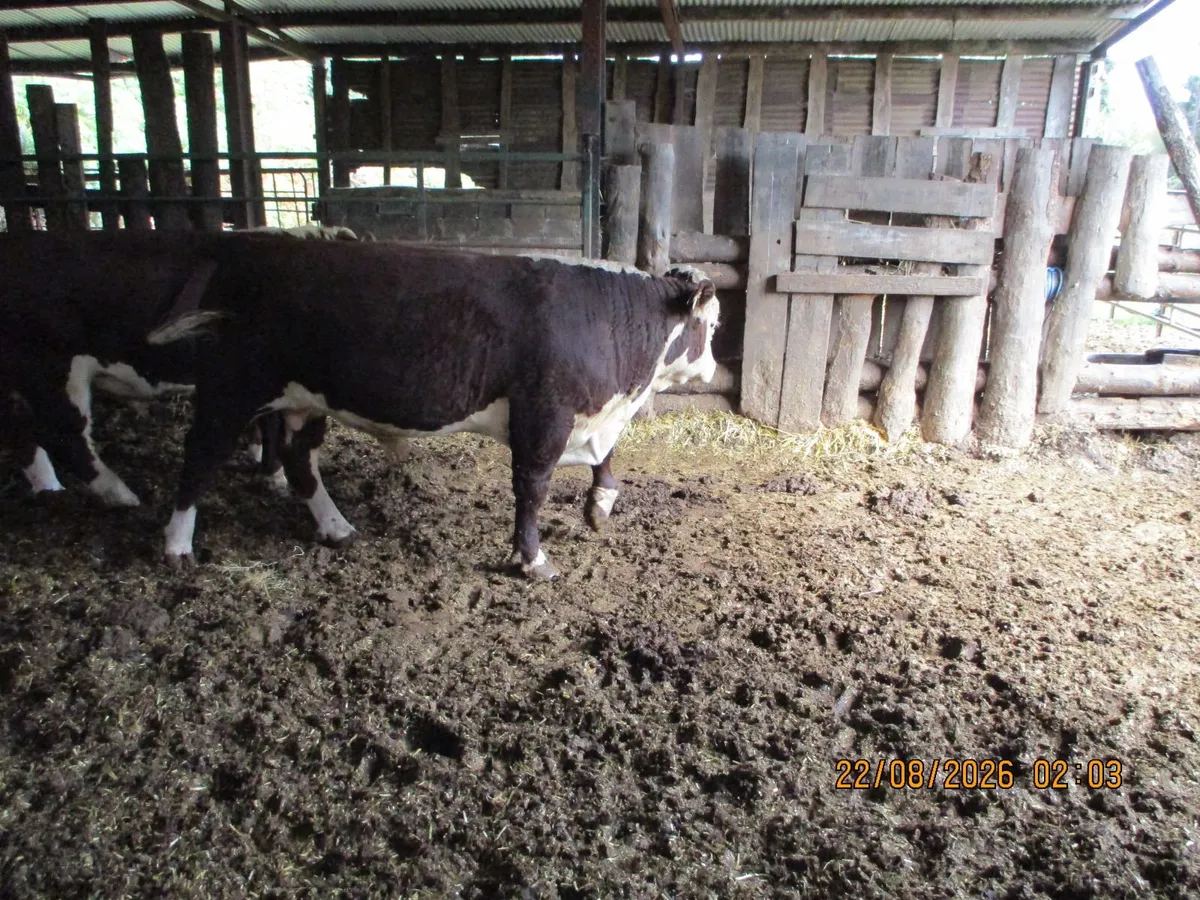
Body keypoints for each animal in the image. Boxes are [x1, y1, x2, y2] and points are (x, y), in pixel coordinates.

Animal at [157, 241, 719, 579]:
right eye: (711, 326)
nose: (713, 369)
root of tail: (251, 248)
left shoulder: (582, 417)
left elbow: (605, 462)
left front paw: (600, 504)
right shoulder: (544, 414)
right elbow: (532, 490)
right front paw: (532, 558)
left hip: (302, 398)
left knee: (300, 461)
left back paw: (336, 527)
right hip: (231, 388)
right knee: (199, 454)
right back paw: (177, 545)